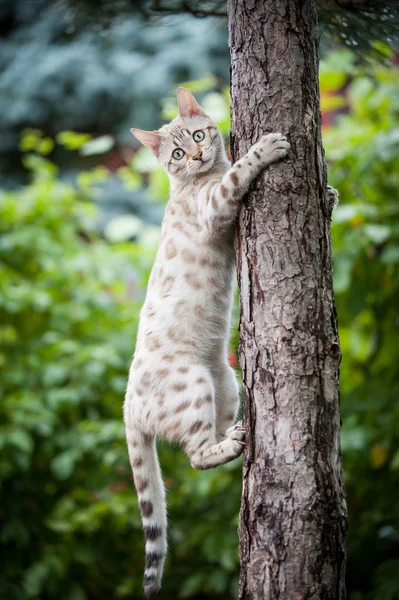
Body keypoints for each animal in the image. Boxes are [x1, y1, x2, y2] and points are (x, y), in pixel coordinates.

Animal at [124, 86, 290, 596]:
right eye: (177, 155)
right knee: (197, 457)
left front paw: (331, 193)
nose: (196, 154)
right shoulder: (216, 208)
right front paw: (269, 146)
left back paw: (235, 435)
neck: (201, 177)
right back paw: (232, 446)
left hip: (227, 382)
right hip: (194, 382)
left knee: (211, 434)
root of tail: (127, 406)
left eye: (198, 136)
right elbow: (240, 172)